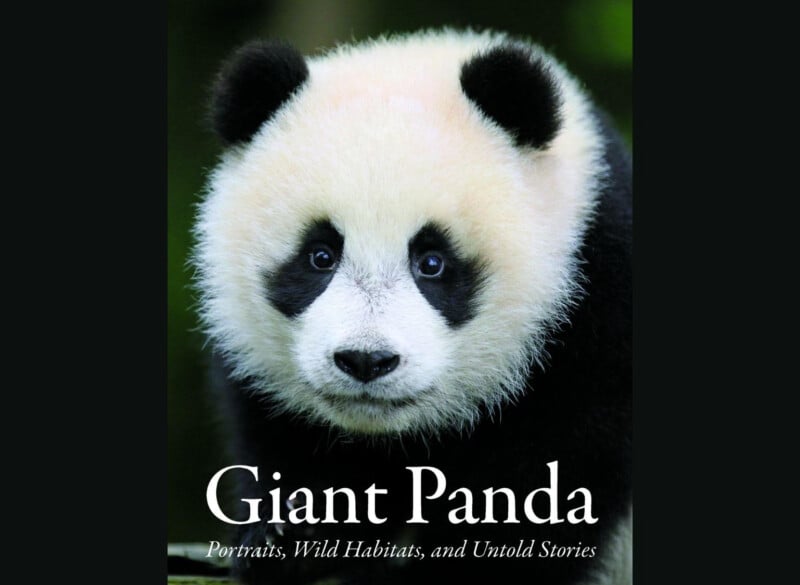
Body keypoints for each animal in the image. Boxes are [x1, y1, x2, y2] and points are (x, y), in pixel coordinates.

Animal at [193, 29, 631, 585]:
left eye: (432, 262)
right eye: (320, 256)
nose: (366, 360)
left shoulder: (597, 295)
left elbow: (562, 464)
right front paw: (290, 536)